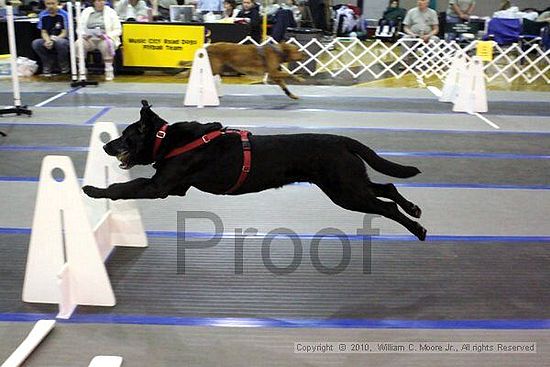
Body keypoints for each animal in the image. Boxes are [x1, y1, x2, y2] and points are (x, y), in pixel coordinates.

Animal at [82, 100, 430, 242]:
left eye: (126, 136)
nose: (105, 146)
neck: (167, 140)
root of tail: (342, 140)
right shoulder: (173, 187)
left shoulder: (159, 187)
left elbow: (122, 188)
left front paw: (92, 190)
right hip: (347, 184)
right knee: (386, 187)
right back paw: (414, 208)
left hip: (345, 191)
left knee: (385, 205)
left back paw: (417, 229)